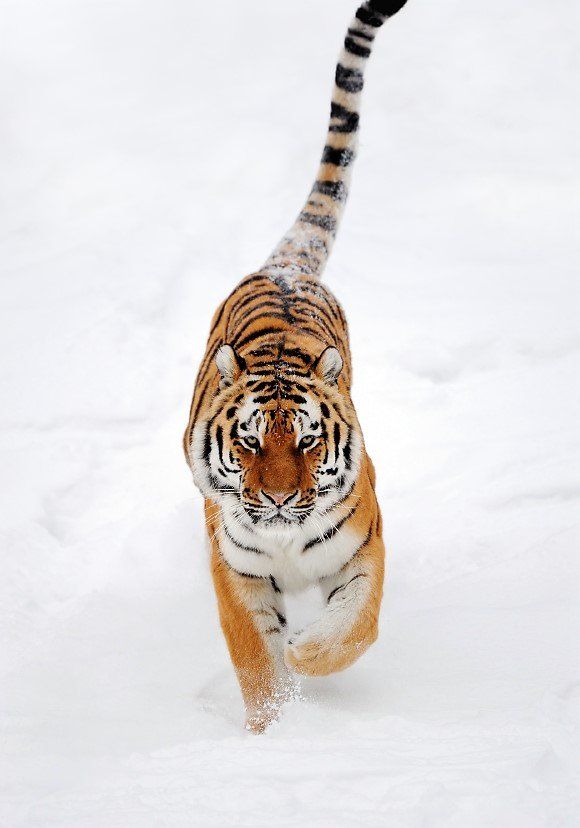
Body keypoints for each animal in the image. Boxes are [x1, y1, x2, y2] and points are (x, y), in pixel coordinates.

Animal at [184, 0, 410, 732]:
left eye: (309, 442)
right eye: (251, 442)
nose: (281, 498)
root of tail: (286, 268)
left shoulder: (365, 547)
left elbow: (355, 627)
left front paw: (309, 654)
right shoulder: (236, 570)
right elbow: (257, 660)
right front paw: (275, 730)